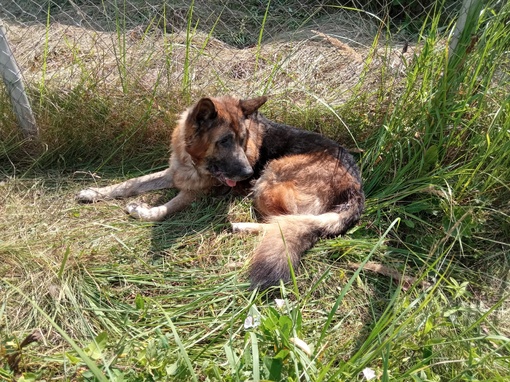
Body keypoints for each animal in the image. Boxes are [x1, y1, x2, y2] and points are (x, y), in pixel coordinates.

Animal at [75, 95, 364, 290]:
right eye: (224, 141)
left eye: (243, 140)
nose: (248, 173)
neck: (193, 161)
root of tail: (356, 190)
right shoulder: (174, 173)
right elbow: (132, 182)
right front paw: (95, 192)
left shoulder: (195, 193)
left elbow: (166, 209)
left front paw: (144, 211)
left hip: (269, 179)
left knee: (283, 223)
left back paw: (241, 227)